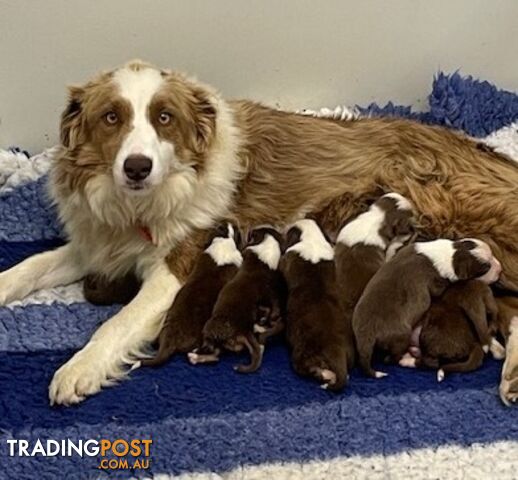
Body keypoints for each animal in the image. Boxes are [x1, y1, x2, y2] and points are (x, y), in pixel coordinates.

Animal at [190, 227, 288, 374]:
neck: (268, 245)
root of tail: (243, 330)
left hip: (210, 328)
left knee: (212, 351)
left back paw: (194, 355)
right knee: (216, 355)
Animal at [354, 238, 504, 376]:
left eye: (492, 254)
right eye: (486, 268)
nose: (500, 268)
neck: (452, 254)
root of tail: (366, 334)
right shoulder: (436, 284)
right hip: (402, 336)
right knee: (398, 358)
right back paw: (406, 358)